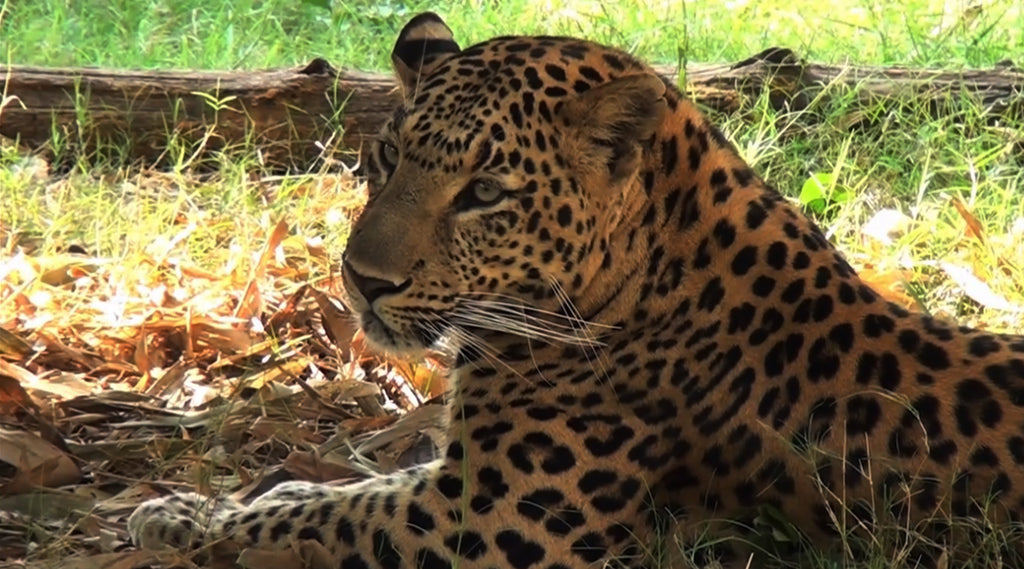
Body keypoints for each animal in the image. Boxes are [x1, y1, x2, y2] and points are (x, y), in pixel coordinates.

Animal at [128, 9, 1024, 569]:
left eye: (485, 192)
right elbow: (339, 488)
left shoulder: (487, 522)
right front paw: (213, 501)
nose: (363, 281)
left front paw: (181, 515)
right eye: (387, 158)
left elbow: (326, 511)